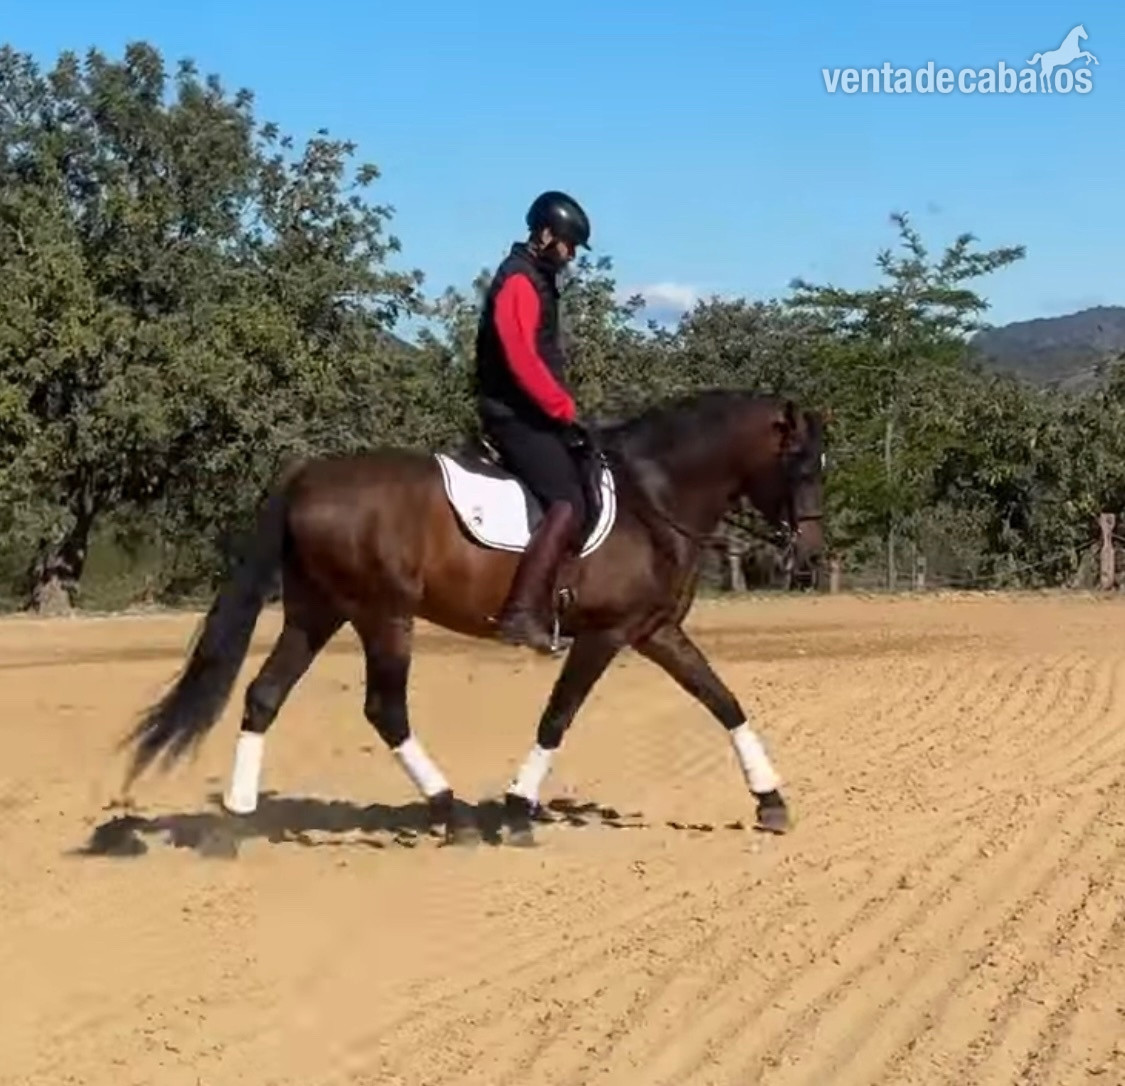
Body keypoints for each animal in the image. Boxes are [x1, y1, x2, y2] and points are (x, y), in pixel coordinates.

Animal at [121, 388, 826, 847]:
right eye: (798, 464)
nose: (813, 555)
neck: (652, 499)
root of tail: (305, 478)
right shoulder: (604, 635)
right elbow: (558, 715)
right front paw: (515, 808)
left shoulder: (653, 631)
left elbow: (722, 700)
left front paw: (771, 801)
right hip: (382, 615)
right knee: (384, 709)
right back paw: (450, 812)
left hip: (317, 613)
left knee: (265, 694)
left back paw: (236, 816)